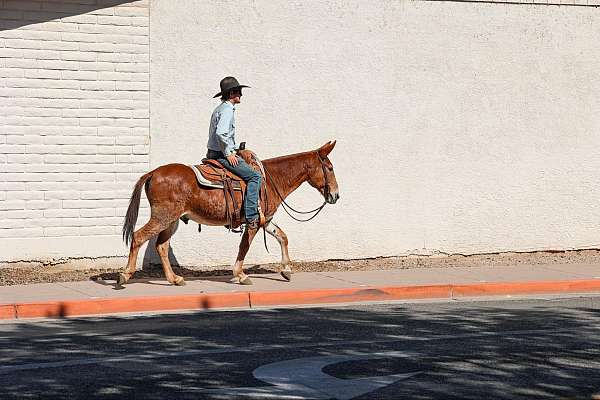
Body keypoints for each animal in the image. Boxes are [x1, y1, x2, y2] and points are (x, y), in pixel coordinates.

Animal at [119, 141, 340, 284]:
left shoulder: (266, 220)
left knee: (162, 246)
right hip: (163, 217)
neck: (271, 179)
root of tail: (153, 173)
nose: (336, 195)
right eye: (329, 167)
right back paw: (125, 274)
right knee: (138, 237)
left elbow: (282, 237)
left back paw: (174, 279)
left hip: (172, 220)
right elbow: (244, 246)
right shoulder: (254, 221)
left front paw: (286, 269)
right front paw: (240, 274)